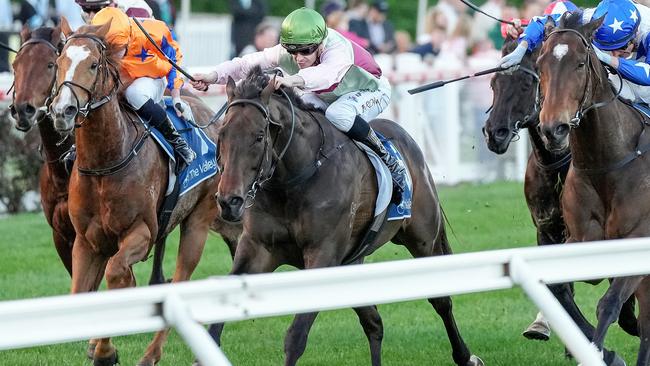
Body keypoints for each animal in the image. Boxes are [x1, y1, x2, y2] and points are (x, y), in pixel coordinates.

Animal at [48, 20, 230, 366]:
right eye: (59, 62)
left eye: (93, 64)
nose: (63, 111)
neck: (106, 162)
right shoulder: (87, 241)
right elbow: (82, 291)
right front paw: (97, 345)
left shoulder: (142, 231)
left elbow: (117, 275)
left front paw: (105, 351)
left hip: (198, 221)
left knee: (180, 279)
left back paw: (151, 353)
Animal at [209, 66, 480, 366]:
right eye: (222, 134)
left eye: (259, 136)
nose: (229, 201)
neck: (294, 178)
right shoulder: (258, 249)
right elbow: (215, 324)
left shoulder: (323, 254)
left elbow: (296, 337)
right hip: (352, 260)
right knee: (374, 322)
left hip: (423, 239)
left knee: (441, 301)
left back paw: (465, 356)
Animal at [536, 12, 648, 364]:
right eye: (540, 62)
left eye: (580, 63)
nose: (553, 128)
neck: (606, 163)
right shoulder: (579, 237)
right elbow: (560, 288)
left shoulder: (639, 237)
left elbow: (609, 303)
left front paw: (603, 352)